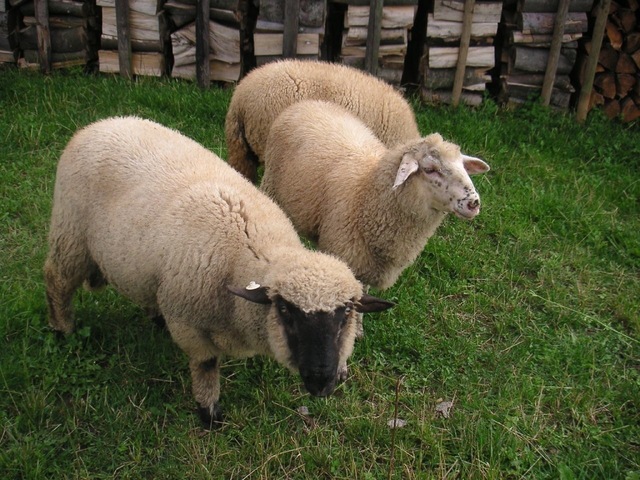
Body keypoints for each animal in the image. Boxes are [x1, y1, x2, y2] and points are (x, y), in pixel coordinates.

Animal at [44, 116, 394, 428]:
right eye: (285, 311)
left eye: (346, 314)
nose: (322, 381)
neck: (246, 253)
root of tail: (99, 124)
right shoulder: (190, 324)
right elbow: (206, 365)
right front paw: (209, 414)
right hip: (70, 233)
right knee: (56, 280)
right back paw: (63, 331)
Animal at [260, 100, 491, 294]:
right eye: (430, 169)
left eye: (463, 166)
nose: (474, 202)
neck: (366, 196)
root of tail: (305, 103)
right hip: (271, 185)